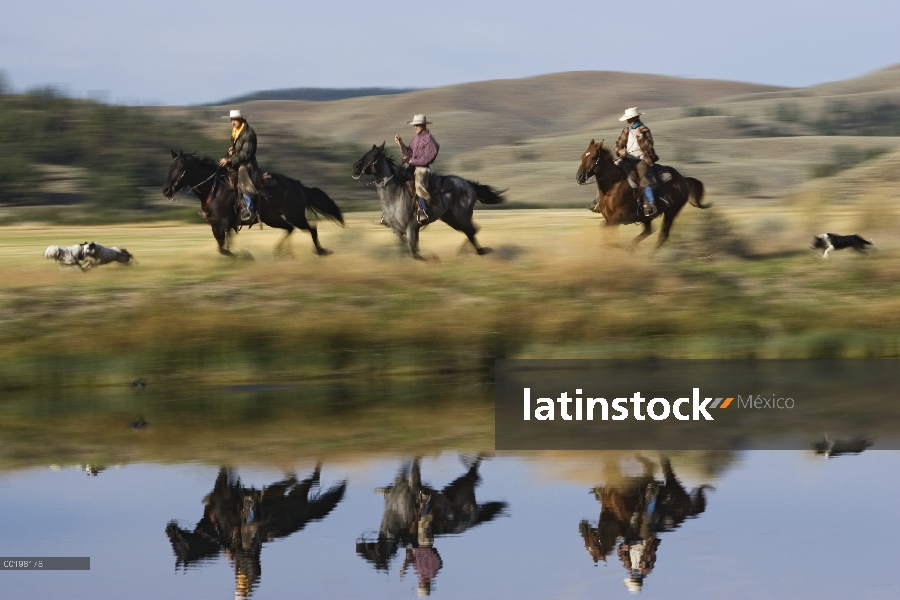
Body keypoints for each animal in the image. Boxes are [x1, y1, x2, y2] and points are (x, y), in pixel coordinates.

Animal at [162, 151, 344, 256]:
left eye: (181, 168)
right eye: (170, 167)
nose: (165, 190)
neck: (214, 189)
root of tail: (299, 186)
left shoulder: (224, 223)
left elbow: (223, 248)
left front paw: (243, 256)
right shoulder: (217, 226)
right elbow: (222, 246)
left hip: (295, 215)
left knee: (311, 229)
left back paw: (320, 251)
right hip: (273, 218)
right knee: (289, 229)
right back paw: (282, 252)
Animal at [354, 145, 506, 260]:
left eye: (374, 155)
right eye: (366, 153)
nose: (356, 167)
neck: (394, 196)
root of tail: (468, 184)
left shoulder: (411, 228)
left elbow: (415, 254)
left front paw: (433, 259)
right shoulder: (398, 231)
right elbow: (405, 253)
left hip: (462, 216)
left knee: (471, 231)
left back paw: (473, 252)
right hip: (450, 218)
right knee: (471, 231)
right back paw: (472, 252)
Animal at [576, 139, 712, 250]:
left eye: (594, 157)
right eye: (583, 156)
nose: (579, 176)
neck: (613, 187)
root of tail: (683, 179)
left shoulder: (619, 218)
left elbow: (607, 234)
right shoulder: (609, 219)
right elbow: (606, 233)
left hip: (671, 212)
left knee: (663, 235)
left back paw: (647, 257)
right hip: (647, 217)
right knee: (649, 231)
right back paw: (631, 249)